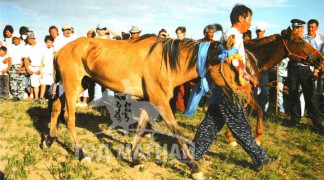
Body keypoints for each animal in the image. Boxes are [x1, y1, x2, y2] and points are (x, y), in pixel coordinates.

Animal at [46, 35, 251, 179]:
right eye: (234, 66)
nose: (246, 98)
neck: (167, 62)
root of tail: (60, 50)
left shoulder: (148, 102)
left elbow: (141, 128)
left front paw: (135, 159)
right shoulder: (160, 101)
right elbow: (177, 131)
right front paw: (194, 167)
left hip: (79, 84)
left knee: (55, 107)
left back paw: (49, 140)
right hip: (72, 85)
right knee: (69, 117)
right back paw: (81, 154)